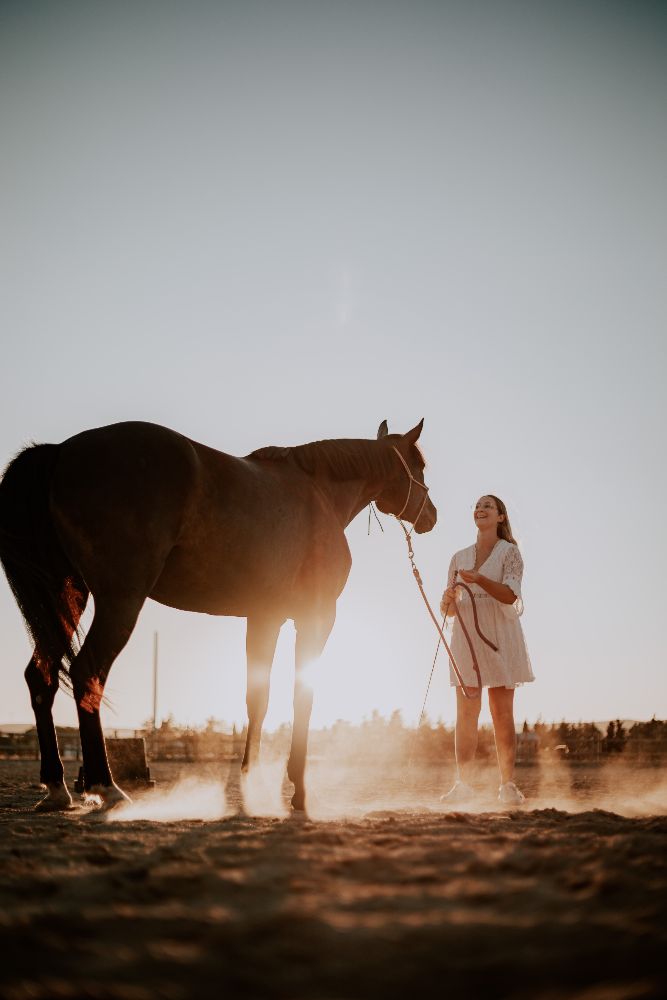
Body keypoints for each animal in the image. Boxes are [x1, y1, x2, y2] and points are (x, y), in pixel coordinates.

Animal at [0, 418, 437, 812]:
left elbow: (256, 699)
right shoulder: (315, 619)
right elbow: (303, 696)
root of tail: (62, 451)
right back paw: (106, 787)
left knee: (41, 678)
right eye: (420, 466)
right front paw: (298, 789)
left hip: (66, 597)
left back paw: (57, 787)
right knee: (87, 673)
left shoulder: (265, 618)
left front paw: (251, 784)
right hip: (119, 600)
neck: (319, 494)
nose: (431, 515)